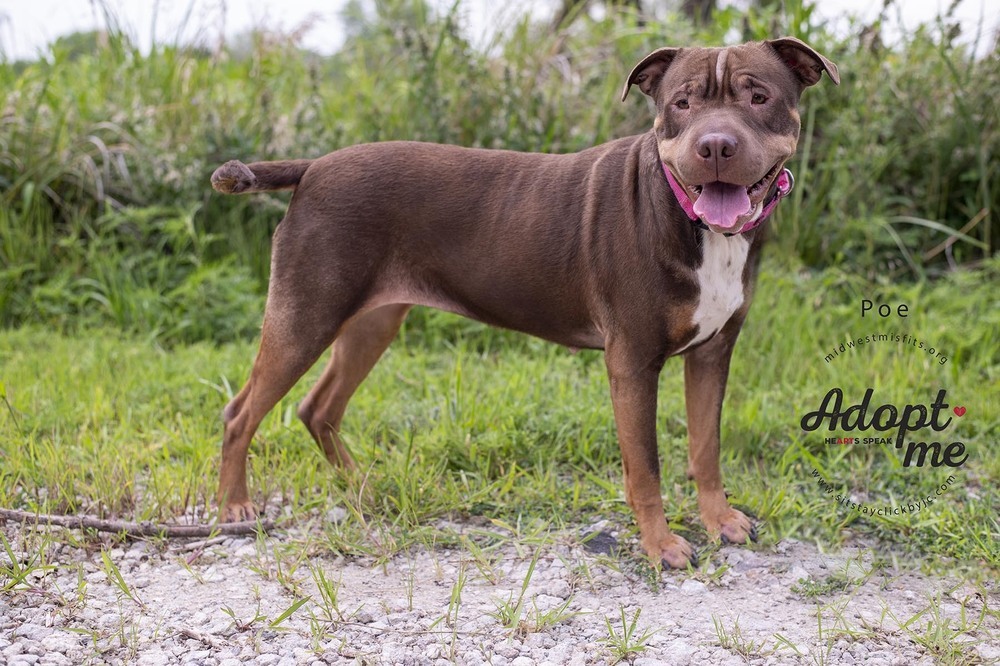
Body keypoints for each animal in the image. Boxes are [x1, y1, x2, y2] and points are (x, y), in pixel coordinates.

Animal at [215, 37, 840, 564]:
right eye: (681, 103)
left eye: (758, 96)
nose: (714, 145)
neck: (696, 222)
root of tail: (314, 167)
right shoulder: (633, 362)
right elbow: (646, 468)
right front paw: (661, 545)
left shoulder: (713, 352)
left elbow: (706, 447)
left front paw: (719, 520)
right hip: (305, 315)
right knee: (241, 412)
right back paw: (235, 507)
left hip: (372, 322)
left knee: (318, 408)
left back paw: (361, 485)